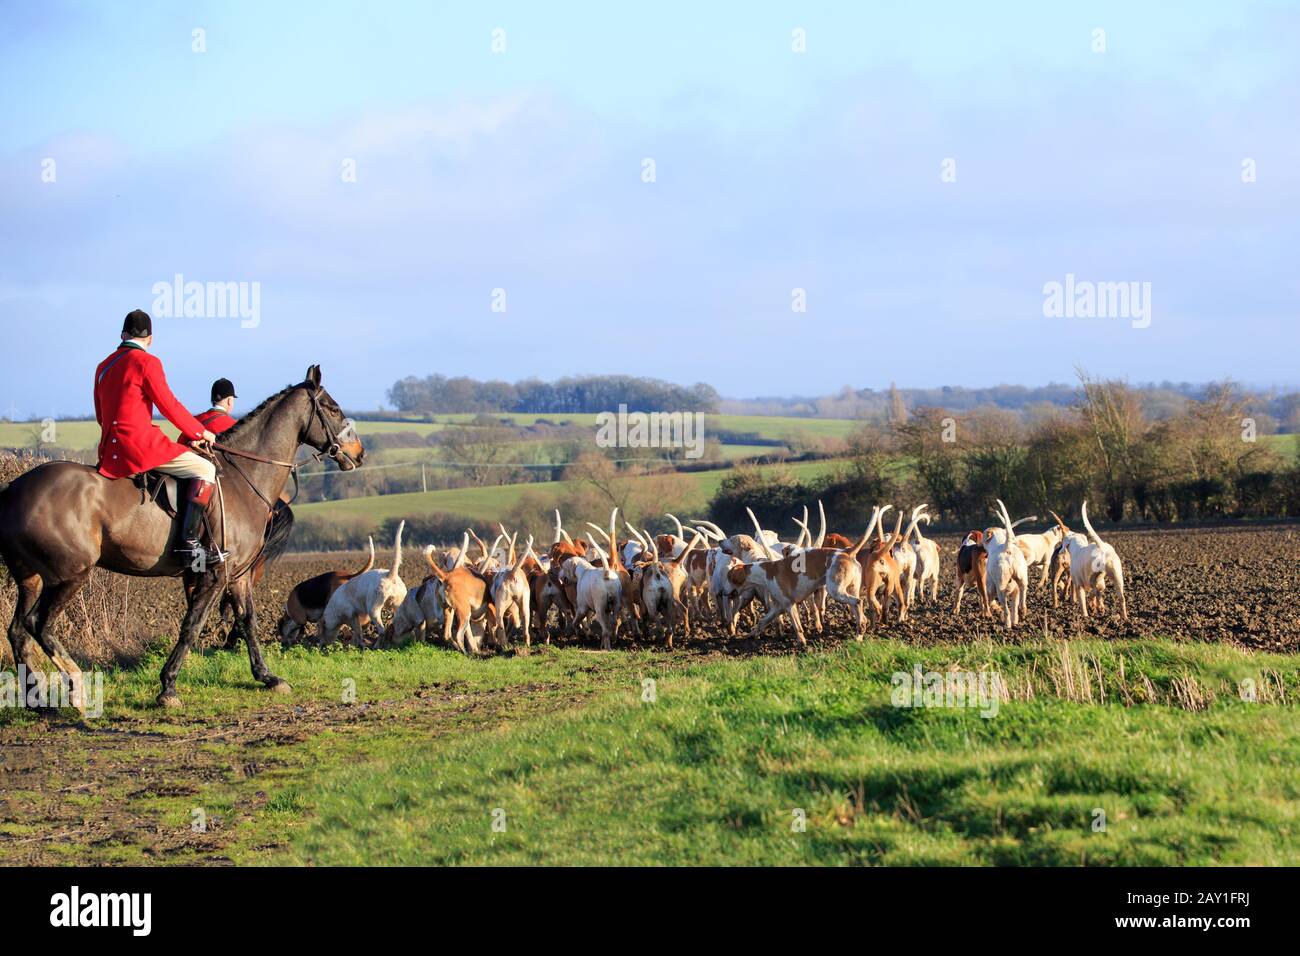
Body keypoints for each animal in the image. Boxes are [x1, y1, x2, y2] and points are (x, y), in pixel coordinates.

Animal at [0, 366, 366, 712]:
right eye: (333, 408)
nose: (359, 453)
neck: (243, 478)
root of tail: (13, 489)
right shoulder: (217, 574)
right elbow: (192, 624)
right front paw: (168, 687)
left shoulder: (238, 575)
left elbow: (248, 621)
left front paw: (267, 677)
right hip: (69, 575)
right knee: (39, 624)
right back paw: (76, 690)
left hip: (31, 578)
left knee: (18, 631)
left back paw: (38, 702)